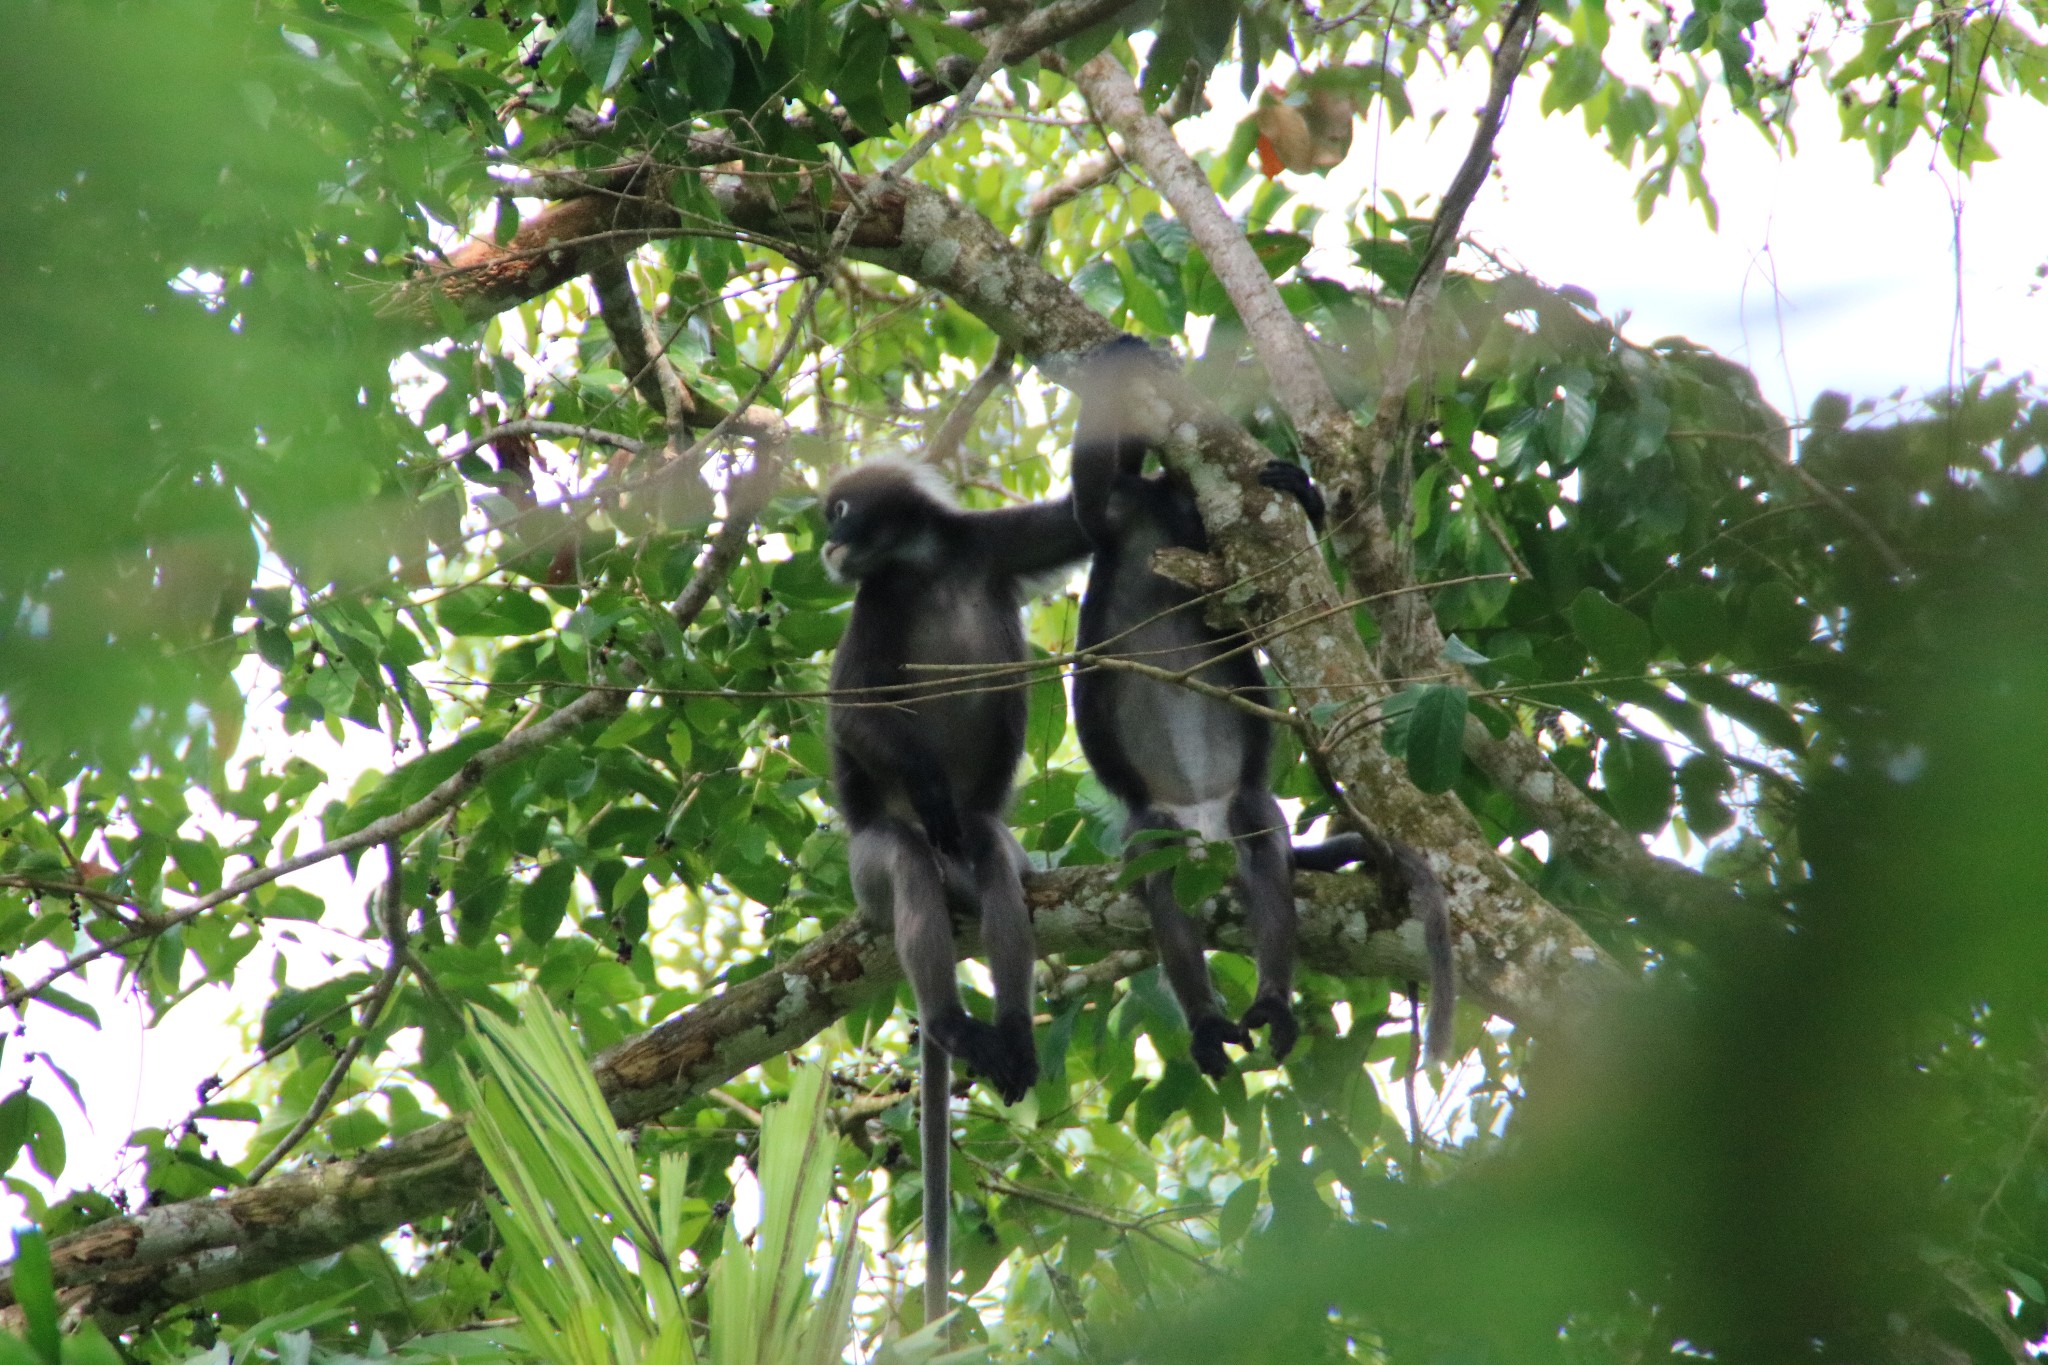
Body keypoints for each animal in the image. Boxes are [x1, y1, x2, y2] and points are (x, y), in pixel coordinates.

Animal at [1073, 335, 1458, 1072]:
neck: (1165, 514)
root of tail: (1204, 829)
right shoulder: (1120, 507)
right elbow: (1088, 493)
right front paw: (1123, 355)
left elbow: (1284, 605)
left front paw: (1303, 494)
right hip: (1161, 826)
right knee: (1158, 861)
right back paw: (1204, 1021)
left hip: (1238, 809)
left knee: (1261, 840)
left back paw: (1273, 999)